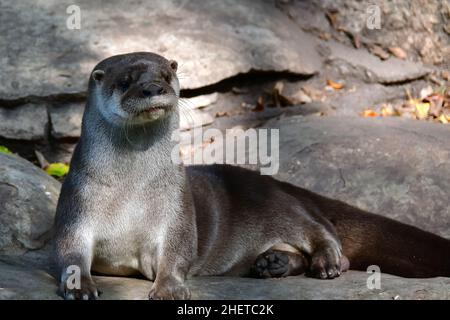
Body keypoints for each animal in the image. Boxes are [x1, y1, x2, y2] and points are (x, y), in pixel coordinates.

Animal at [54, 52, 450, 300]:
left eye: (166, 75)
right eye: (125, 81)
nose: (154, 88)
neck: (131, 193)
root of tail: (282, 185)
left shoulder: (177, 209)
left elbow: (178, 251)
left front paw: (169, 288)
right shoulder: (77, 201)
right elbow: (69, 248)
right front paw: (79, 286)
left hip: (282, 206)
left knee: (325, 234)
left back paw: (325, 262)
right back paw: (273, 263)